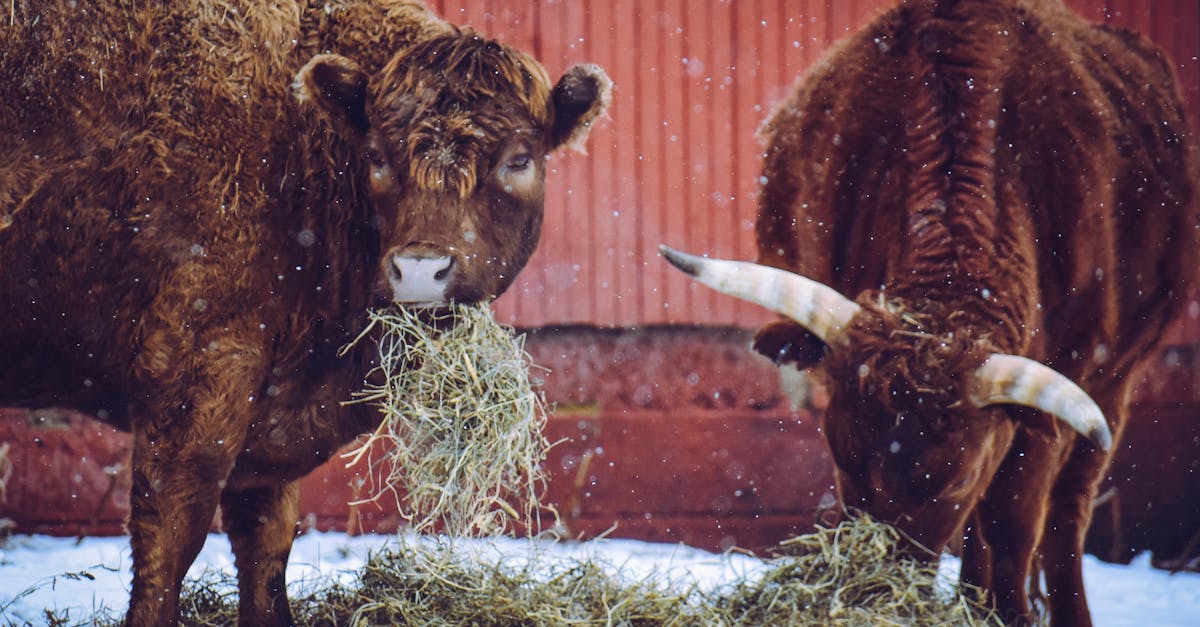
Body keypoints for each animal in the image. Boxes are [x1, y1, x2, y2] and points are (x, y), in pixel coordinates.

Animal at [0, 2, 609, 619]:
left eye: (519, 159)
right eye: (376, 157)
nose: (420, 269)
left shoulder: (265, 427)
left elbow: (266, 550)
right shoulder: (197, 379)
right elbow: (170, 541)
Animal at [662, 0, 1195, 619]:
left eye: (953, 483)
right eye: (841, 456)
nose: (874, 593)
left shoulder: (1059, 395)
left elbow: (1013, 524)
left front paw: (1008, 613)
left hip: (1115, 384)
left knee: (1065, 514)